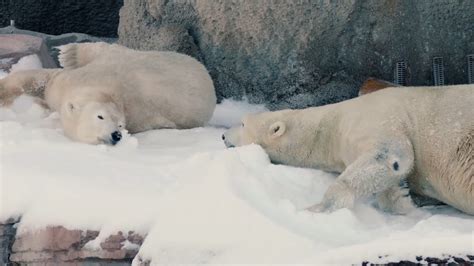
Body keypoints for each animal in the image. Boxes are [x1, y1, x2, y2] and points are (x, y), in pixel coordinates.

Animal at [0, 42, 217, 144]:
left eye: (120, 125)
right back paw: (71, 53)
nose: (116, 135)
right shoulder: (68, 83)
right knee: (106, 48)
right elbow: (41, 80)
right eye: (100, 116)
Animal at [223, 86, 474, 215]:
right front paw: (406, 201)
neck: (333, 122)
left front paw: (318, 208)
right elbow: (390, 182)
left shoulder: (378, 117)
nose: (223, 135)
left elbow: (390, 155)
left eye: (243, 123)